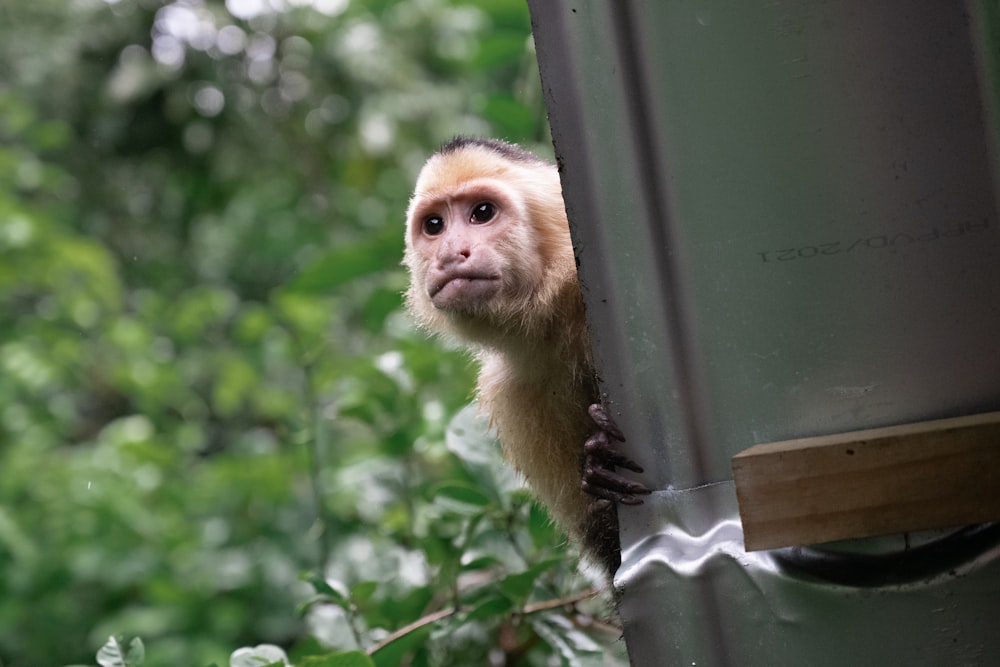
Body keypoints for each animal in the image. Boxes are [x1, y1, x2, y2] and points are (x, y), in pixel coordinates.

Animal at [402, 137, 652, 580]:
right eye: (434, 226)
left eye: (482, 213)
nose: (449, 255)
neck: (555, 312)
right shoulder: (519, 391)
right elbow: (611, 558)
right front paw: (598, 469)